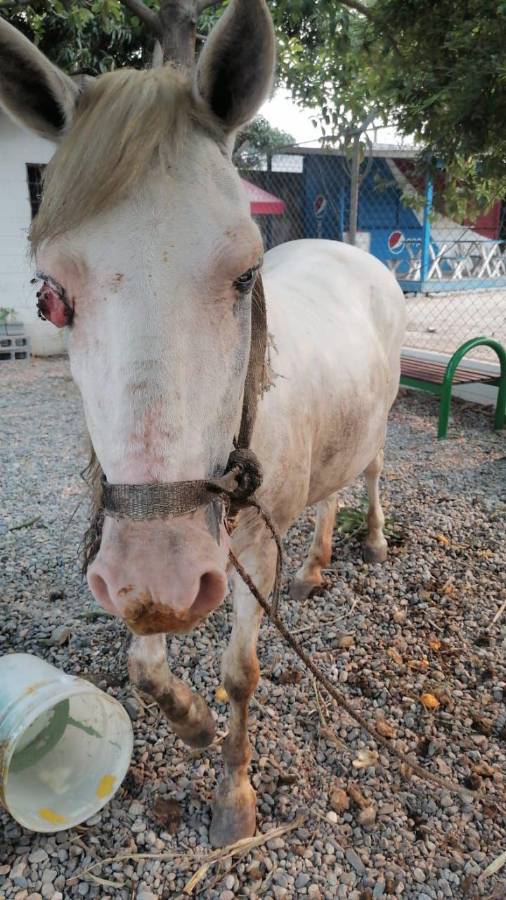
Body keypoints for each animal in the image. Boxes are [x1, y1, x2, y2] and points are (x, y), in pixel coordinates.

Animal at [0, 0, 405, 847]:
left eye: (246, 273)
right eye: (51, 294)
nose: (165, 574)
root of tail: (351, 254)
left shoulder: (248, 547)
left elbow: (240, 674)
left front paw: (234, 795)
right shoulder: (138, 556)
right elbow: (144, 664)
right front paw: (190, 722)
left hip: (378, 424)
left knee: (371, 476)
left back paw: (374, 541)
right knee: (331, 494)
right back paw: (317, 563)